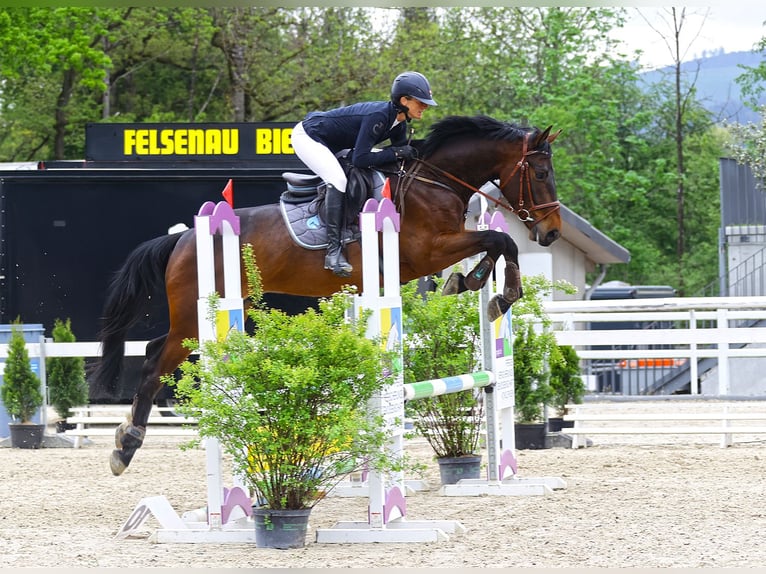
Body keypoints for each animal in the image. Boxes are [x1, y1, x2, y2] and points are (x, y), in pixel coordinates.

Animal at [94, 113, 564, 476]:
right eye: (541, 174)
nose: (552, 233)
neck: (433, 183)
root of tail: (183, 237)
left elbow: (495, 244)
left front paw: (473, 283)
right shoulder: (428, 251)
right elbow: (500, 240)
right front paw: (499, 292)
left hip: (206, 314)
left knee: (155, 348)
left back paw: (126, 433)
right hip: (198, 315)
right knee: (154, 365)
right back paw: (125, 446)